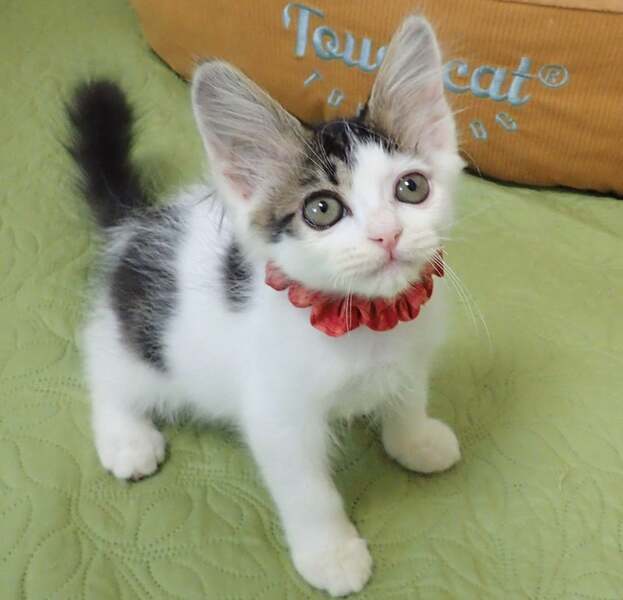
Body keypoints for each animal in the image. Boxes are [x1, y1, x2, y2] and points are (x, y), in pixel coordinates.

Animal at [67, 15, 464, 597]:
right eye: (322, 210)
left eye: (411, 188)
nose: (387, 234)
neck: (366, 322)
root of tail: (137, 224)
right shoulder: (279, 413)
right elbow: (308, 489)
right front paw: (331, 553)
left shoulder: (411, 353)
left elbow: (406, 397)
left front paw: (415, 439)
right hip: (146, 340)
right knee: (106, 363)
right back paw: (126, 436)